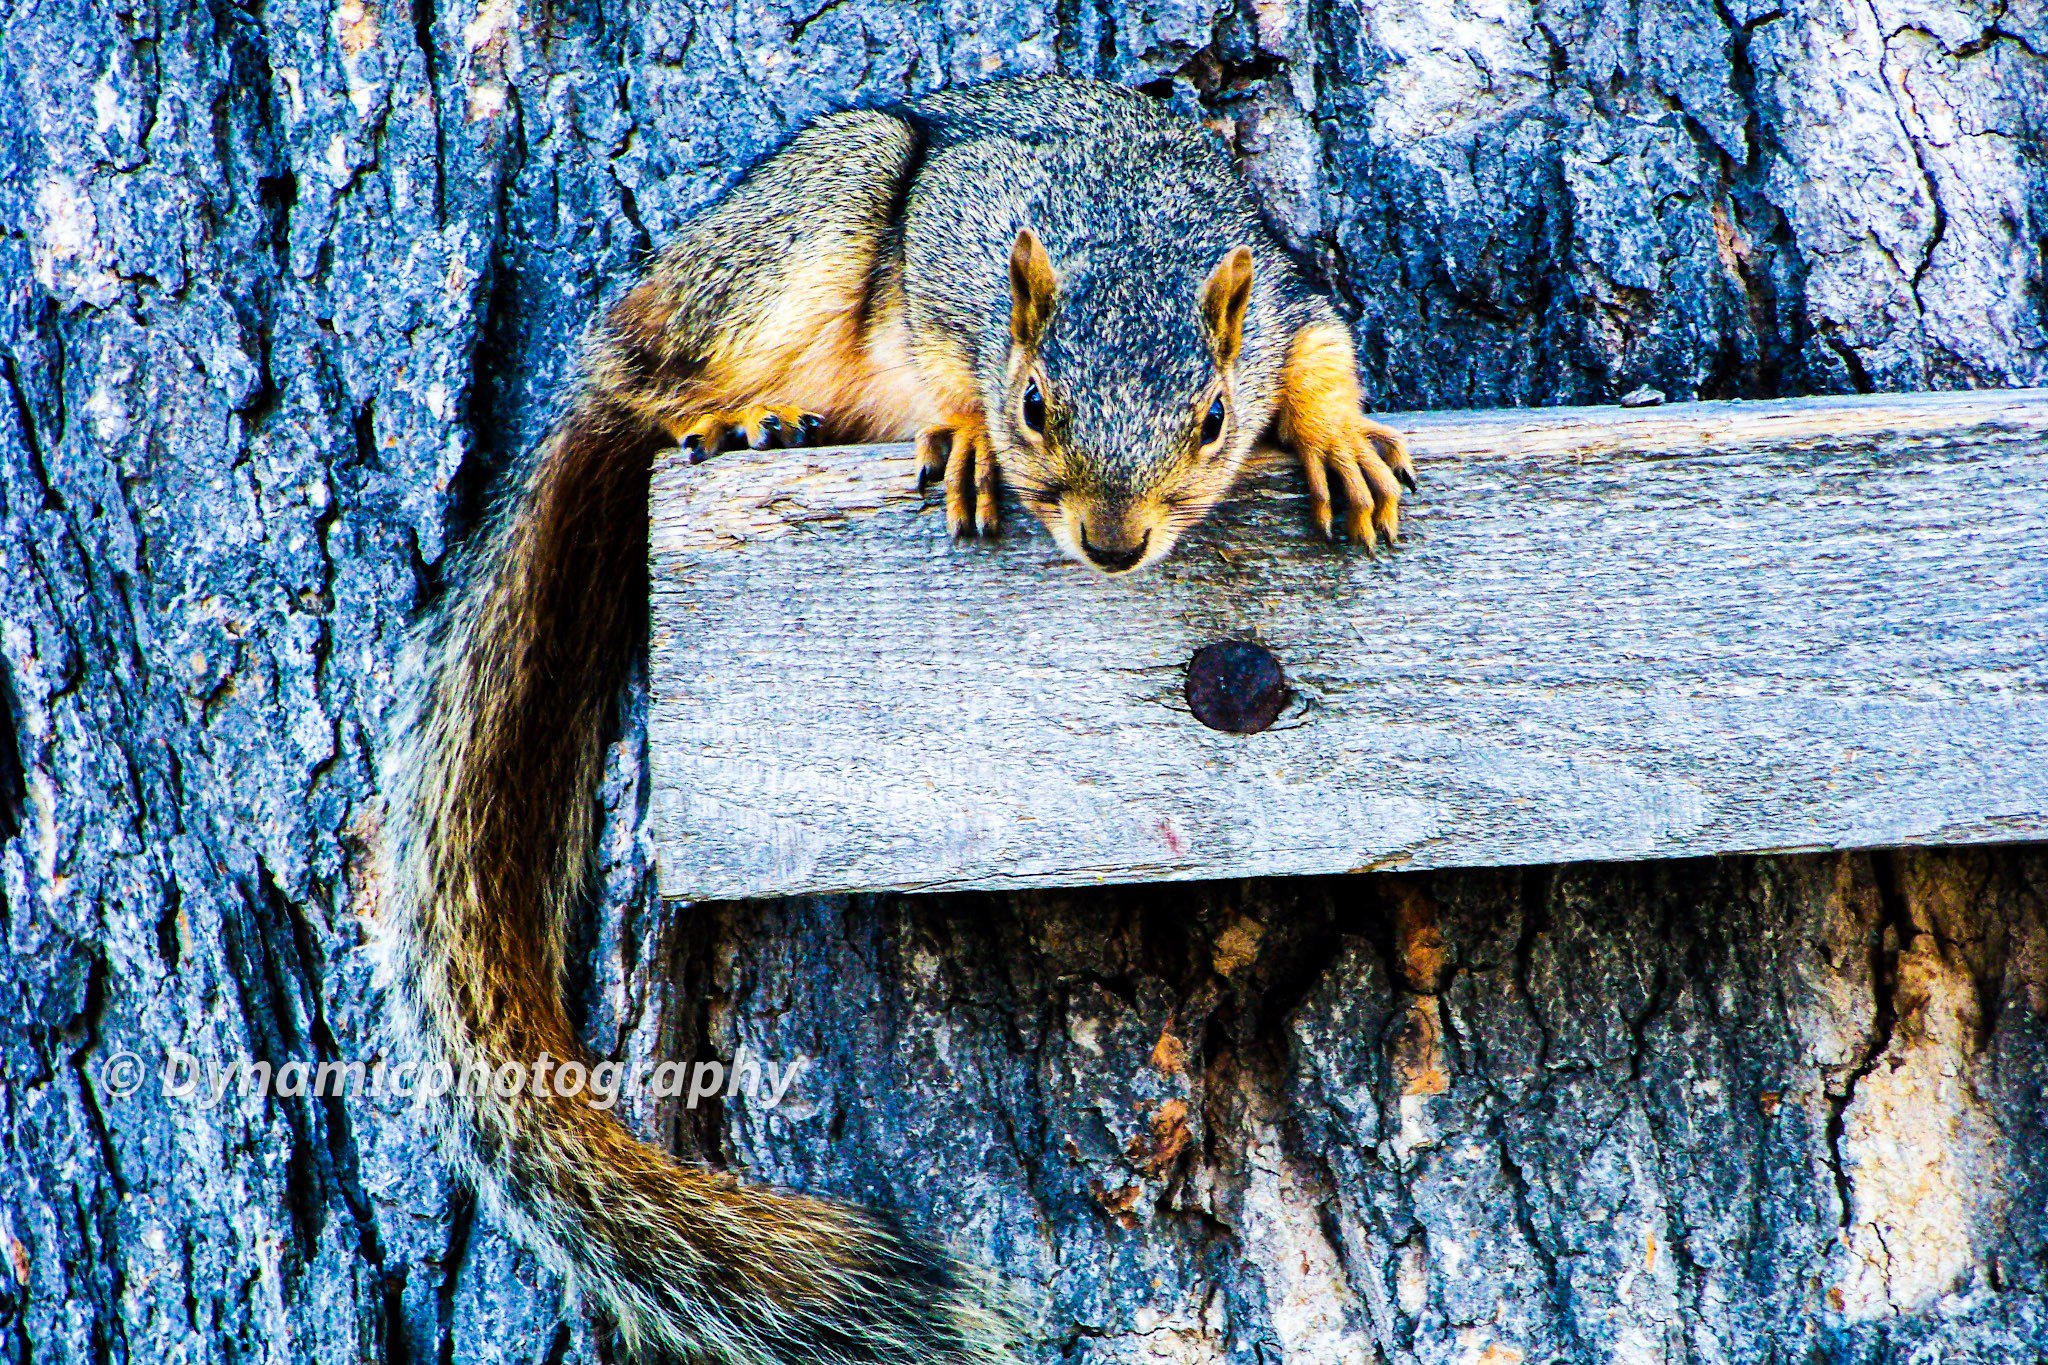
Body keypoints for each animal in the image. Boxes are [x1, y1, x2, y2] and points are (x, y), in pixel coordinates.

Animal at [377, 74, 1414, 1364]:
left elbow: (1321, 354)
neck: (1126, 246)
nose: (1113, 544)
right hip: (802, 232)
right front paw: (964, 433)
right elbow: (943, 354)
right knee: (652, 392)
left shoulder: (1280, 298)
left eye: (1215, 417)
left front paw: (1337, 440)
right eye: (1033, 403)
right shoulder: (949, 263)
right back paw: (737, 422)